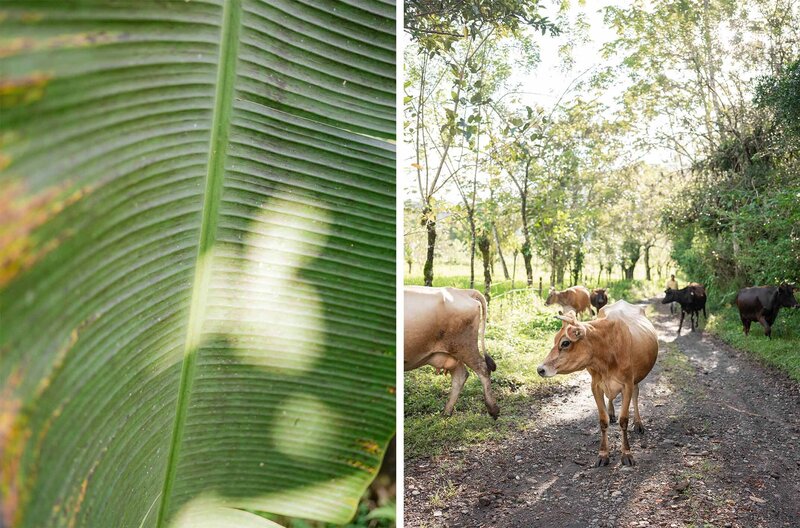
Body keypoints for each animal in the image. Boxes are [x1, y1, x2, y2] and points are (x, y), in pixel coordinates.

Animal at [406, 286, 500, 418]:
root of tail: (463, 291)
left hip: (465, 346)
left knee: (483, 369)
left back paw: (493, 409)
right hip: (454, 351)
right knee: (461, 375)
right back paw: (447, 412)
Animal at [536, 302, 656, 466]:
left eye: (565, 343)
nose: (540, 369)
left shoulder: (627, 384)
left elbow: (624, 420)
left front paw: (626, 453)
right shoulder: (595, 386)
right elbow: (603, 420)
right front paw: (603, 454)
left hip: (636, 378)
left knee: (636, 395)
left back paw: (638, 423)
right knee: (611, 399)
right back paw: (611, 412)